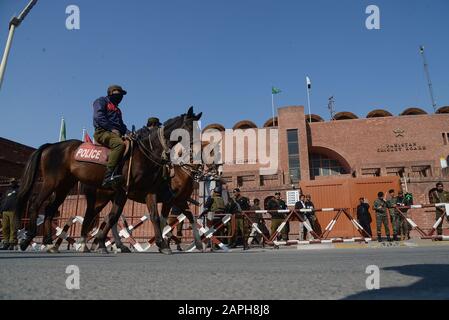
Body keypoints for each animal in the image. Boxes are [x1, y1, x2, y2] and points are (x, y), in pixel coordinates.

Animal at [16, 106, 201, 254]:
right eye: (189, 128)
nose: (198, 152)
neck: (146, 153)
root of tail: (51, 146)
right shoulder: (128, 191)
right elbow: (115, 216)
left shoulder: (153, 192)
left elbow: (156, 217)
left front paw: (164, 244)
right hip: (53, 183)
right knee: (37, 205)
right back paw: (29, 239)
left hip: (65, 186)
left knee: (53, 209)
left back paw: (53, 243)